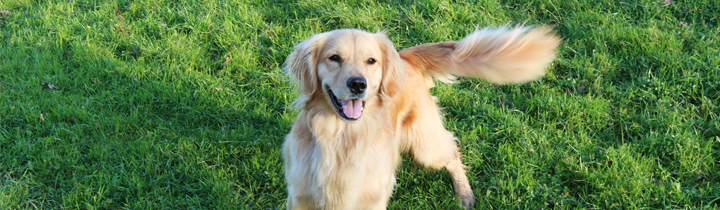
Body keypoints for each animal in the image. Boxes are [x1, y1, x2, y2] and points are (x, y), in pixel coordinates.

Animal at [284, 25, 560, 209]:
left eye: (371, 61)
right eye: (334, 58)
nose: (358, 84)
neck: (341, 139)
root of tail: (406, 58)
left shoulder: (371, 198)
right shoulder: (300, 198)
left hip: (425, 144)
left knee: (452, 151)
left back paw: (464, 194)